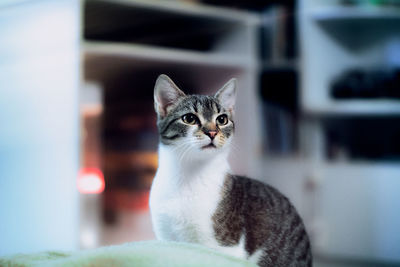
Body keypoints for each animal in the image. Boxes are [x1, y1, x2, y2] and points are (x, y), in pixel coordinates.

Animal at [150, 74, 312, 266]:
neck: (188, 177)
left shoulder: (227, 249)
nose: (212, 132)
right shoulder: (166, 238)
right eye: (189, 118)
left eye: (222, 120)